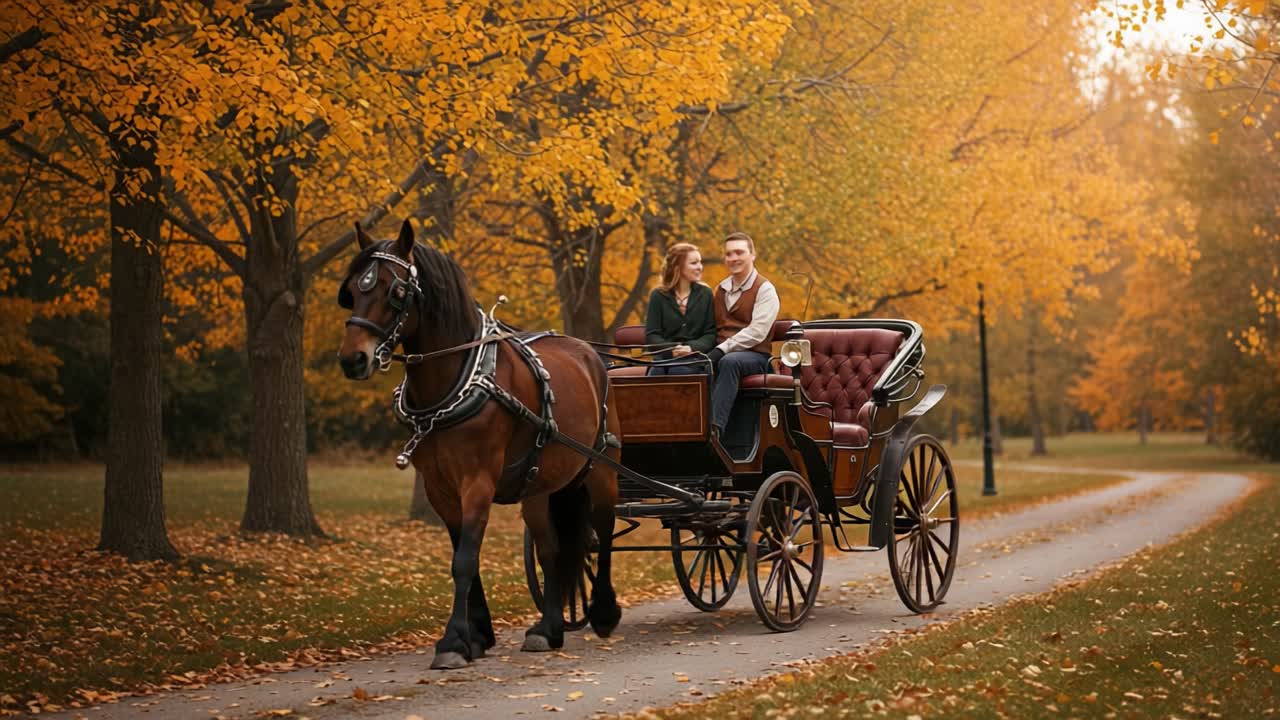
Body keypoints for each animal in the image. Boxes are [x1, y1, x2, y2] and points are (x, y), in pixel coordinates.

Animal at [336, 219, 622, 669]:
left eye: (395, 291)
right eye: (352, 290)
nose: (353, 359)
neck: (459, 381)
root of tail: (589, 352)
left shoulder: (478, 481)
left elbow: (465, 561)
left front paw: (454, 641)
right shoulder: (440, 488)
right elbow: (465, 559)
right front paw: (477, 635)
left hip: (602, 469)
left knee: (604, 529)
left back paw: (605, 612)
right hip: (539, 485)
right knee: (551, 548)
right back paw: (548, 628)